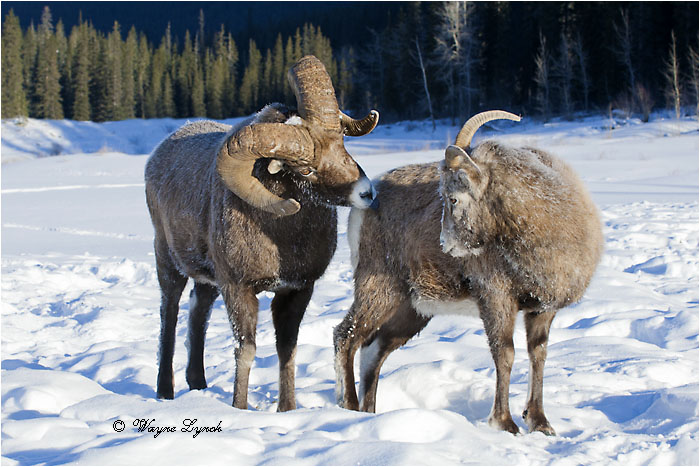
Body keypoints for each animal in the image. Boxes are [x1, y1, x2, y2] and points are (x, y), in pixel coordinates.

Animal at [145, 55, 379, 411]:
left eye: (341, 142)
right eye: (305, 169)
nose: (366, 193)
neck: (282, 240)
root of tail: (156, 156)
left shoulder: (297, 291)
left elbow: (287, 349)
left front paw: (288, 409)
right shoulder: (239, 289)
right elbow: (246, 350)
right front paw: (239, 408)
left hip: (207, 282)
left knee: (198, 312)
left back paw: (198, 384)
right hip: (169, 264)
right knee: (168, 316)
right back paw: (165, 392)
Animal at [334, 110, 603, 435]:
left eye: (452, 198)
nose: (446, 244)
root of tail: (365, 202)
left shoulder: (542, 310)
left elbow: (538, 355)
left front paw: (540, 423)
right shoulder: (497, 299)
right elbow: (505, 353)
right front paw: (505, 423)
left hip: (411, 310)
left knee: (373, 351)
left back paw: (369, 413)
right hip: (378, 290)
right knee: (346, 337)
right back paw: (349, 407)